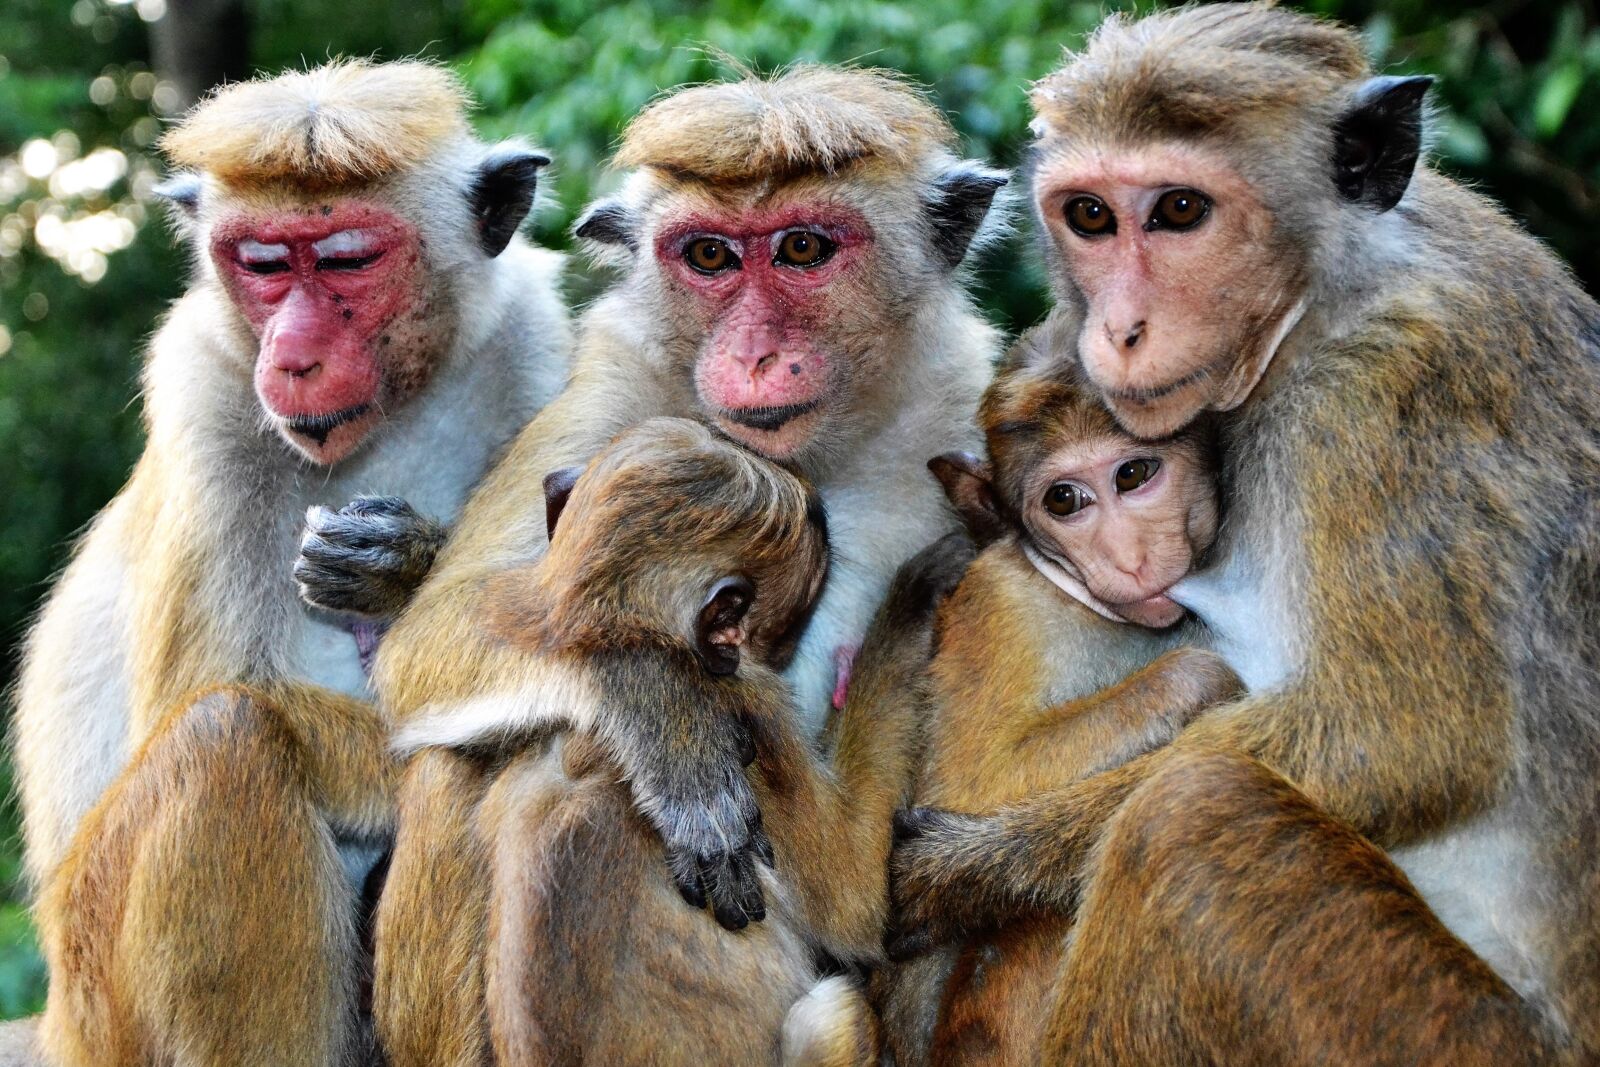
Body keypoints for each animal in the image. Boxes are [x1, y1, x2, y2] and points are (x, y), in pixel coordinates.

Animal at [11, 60, 570, 1067]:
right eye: (264, 265)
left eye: (347, 261)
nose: (294, 356)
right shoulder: (202, 390)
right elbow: (214, 684)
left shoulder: (536, 347)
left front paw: (398, 566)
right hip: (98, 983)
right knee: (226, 736)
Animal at [380, 415, 970, 1066]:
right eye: (786, 625)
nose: (785, 649)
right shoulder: (749, 703)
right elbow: (858, 906)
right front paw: (920, 588)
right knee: (833, 1008)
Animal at [873, 323, 1241, 1066]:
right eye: (1064, 500)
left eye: (1133, 474)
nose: (1129, 557)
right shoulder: (1001, 605)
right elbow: (978, 778)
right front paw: (1204, 679)